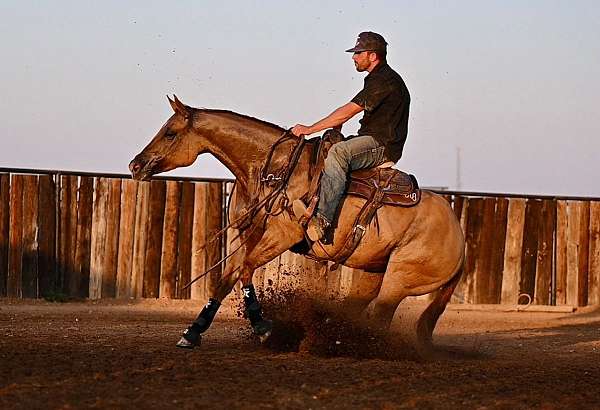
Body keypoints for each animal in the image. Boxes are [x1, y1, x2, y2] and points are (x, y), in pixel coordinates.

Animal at [130, 95, 464, 350]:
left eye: (170, 132)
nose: (136, 165)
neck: (270, 171)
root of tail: (460, 241)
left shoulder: (281, 236)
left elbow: (246, 270)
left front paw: (264, 328)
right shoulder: (243, 234)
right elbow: (226, 280)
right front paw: (192, 333)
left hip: (399, 279)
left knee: (381, 315)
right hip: (372, 273)